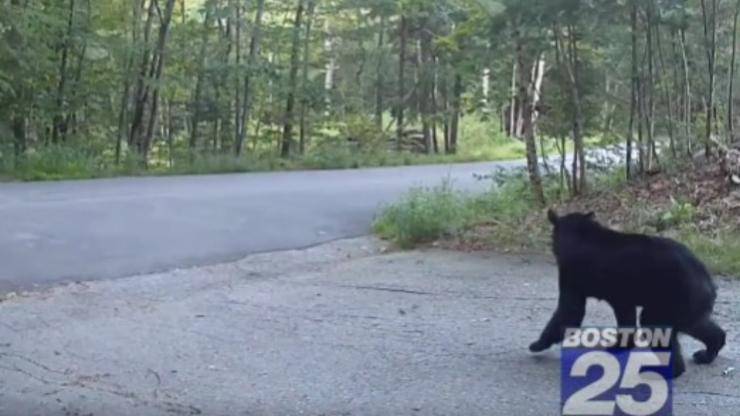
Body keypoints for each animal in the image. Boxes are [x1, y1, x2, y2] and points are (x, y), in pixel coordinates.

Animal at [529, 210, 726, 378]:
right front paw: (620, 345)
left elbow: (569, 310)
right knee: (698, 324)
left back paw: (667, 370)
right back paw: (707, 352)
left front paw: (537, 344)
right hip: (689, 305)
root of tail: (707, 280)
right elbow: (625, 316)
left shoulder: (572, 276)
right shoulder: (621, 296)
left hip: (673, 299)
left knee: (655, 325)